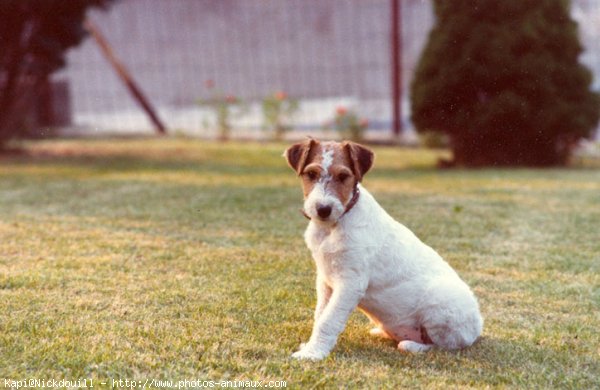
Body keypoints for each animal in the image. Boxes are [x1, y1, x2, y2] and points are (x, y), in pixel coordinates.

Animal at [284, 139, 486, 362]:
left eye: (343, 176)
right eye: (311, 174)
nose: (323, 209)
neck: (333, 226)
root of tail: (478, 327)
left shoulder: (350, 283)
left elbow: (328, 320)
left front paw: (313, 353)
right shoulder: (325, 280)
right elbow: (320, 314)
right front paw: (311, 346)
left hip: (441, 304)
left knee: (443, 346)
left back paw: (410, 345)